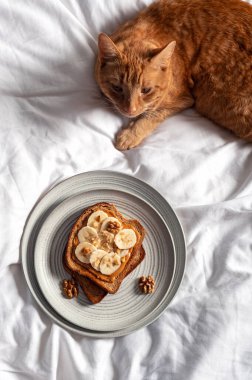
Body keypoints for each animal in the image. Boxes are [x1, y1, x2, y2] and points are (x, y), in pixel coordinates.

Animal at [95, 0, 252, 151]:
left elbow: (152, 115)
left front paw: (130, 135)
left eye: (146, 90)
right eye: (117, 88)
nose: (130, 110)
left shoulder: (183, 100)